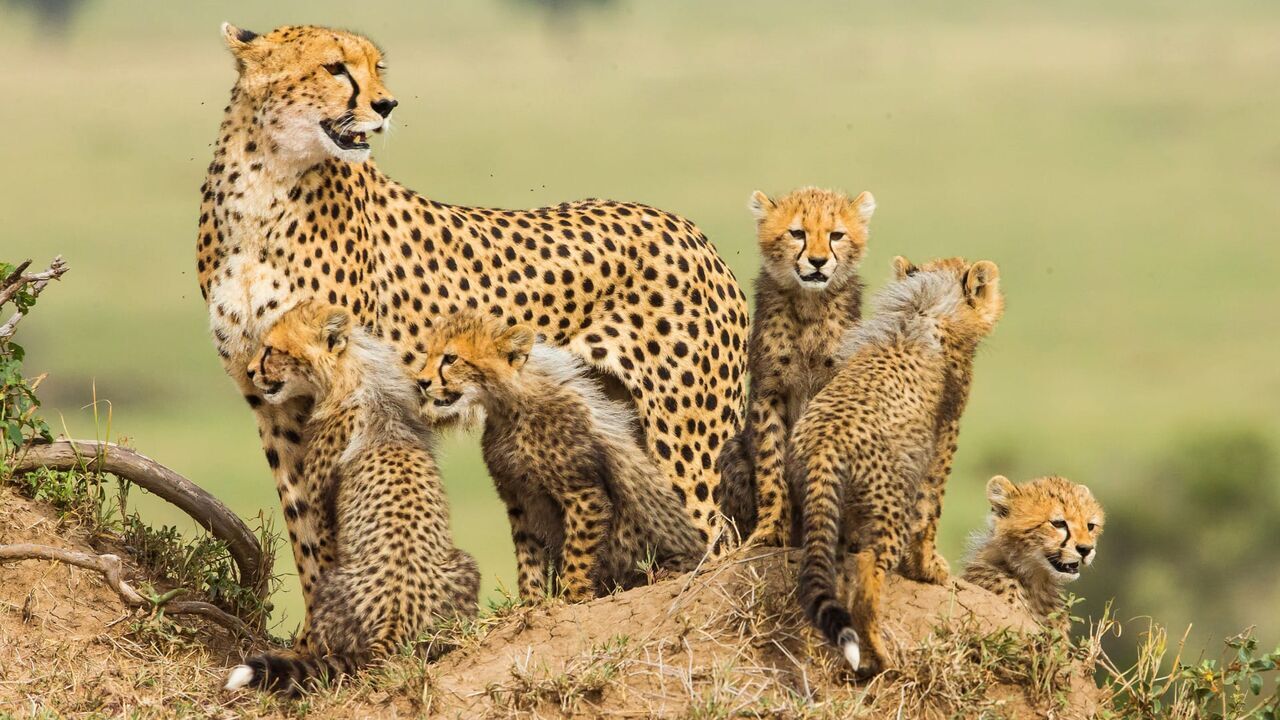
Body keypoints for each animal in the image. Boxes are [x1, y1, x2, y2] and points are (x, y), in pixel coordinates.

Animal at [224, 300, 479, 695]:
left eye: (271, 350)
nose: (251, 371)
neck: (354, 377)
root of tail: (394, 620)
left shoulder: (322, 514)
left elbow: (317, 563)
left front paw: (305, 649)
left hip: (338, 586)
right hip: (465, 567)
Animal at [416, 312, 705, 602]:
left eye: (450, 358)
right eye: (427, 354)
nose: (422, 382)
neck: (508, 409)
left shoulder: (583, 495)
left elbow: (577, 552)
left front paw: (573, 595)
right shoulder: (518, 498)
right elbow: (528, 554)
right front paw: (532, 602)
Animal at [717, 187, 875, 548]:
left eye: (836, 235)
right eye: (797, 233)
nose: (817, 261)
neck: (810, 304)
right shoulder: (768, 391)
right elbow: (771, 465)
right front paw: (772, 530)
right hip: (733, 450)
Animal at [792, 255, 1004, 677]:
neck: (925, 305)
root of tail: (825, 441)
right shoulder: (942, 439)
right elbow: (931, 509)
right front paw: (928, 568)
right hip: (890, 508)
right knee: (867, 574)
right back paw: (879, 656)